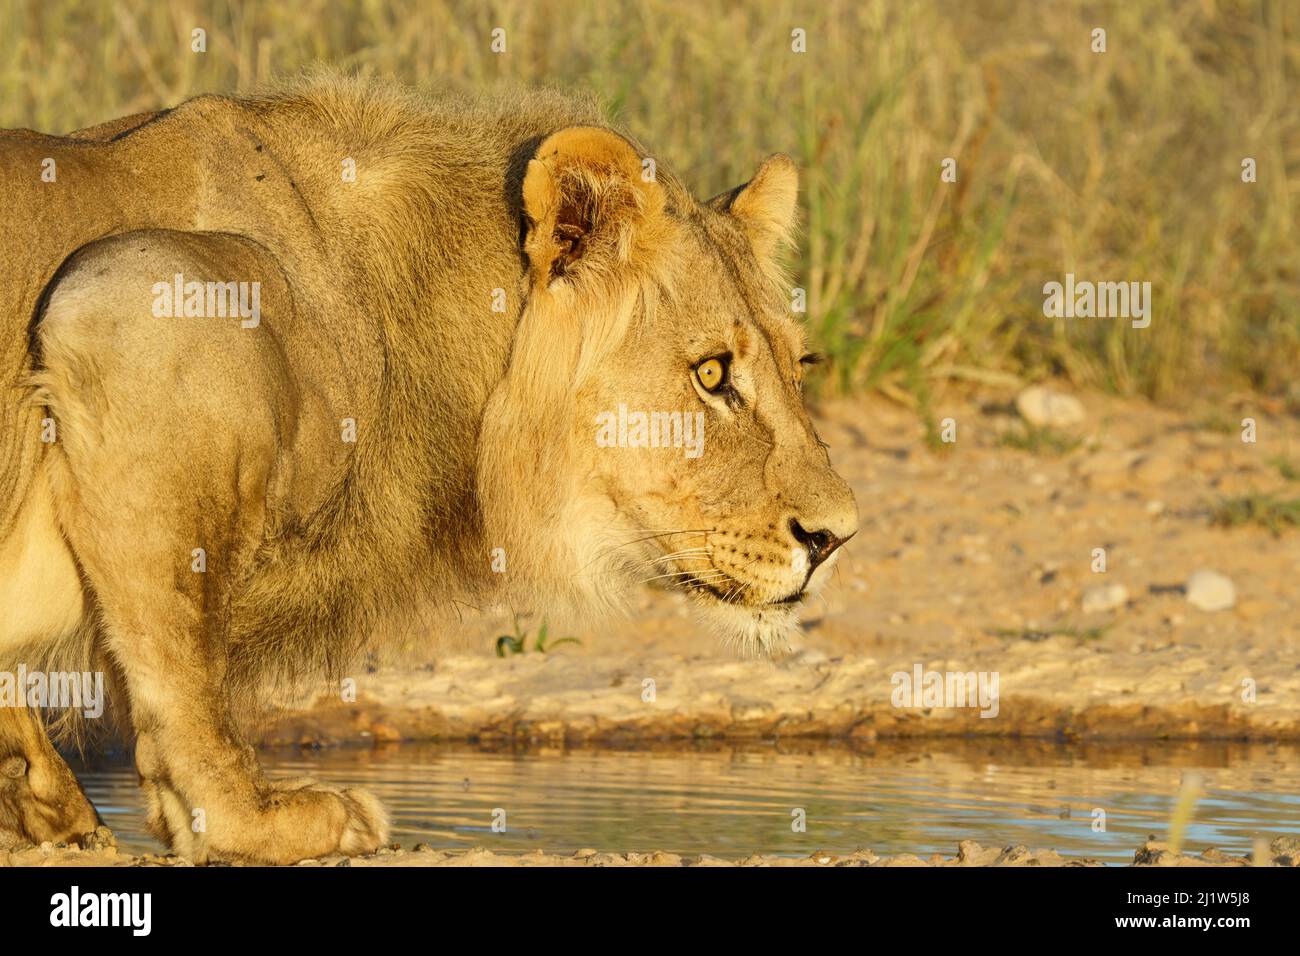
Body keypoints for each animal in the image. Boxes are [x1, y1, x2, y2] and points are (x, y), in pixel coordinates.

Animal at [2, 76, 863, 868]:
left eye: (799, 367)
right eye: (712, 374)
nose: (835, 538)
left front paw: (50, 812)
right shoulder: (142, 298)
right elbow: (183, 666)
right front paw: (256, 820)